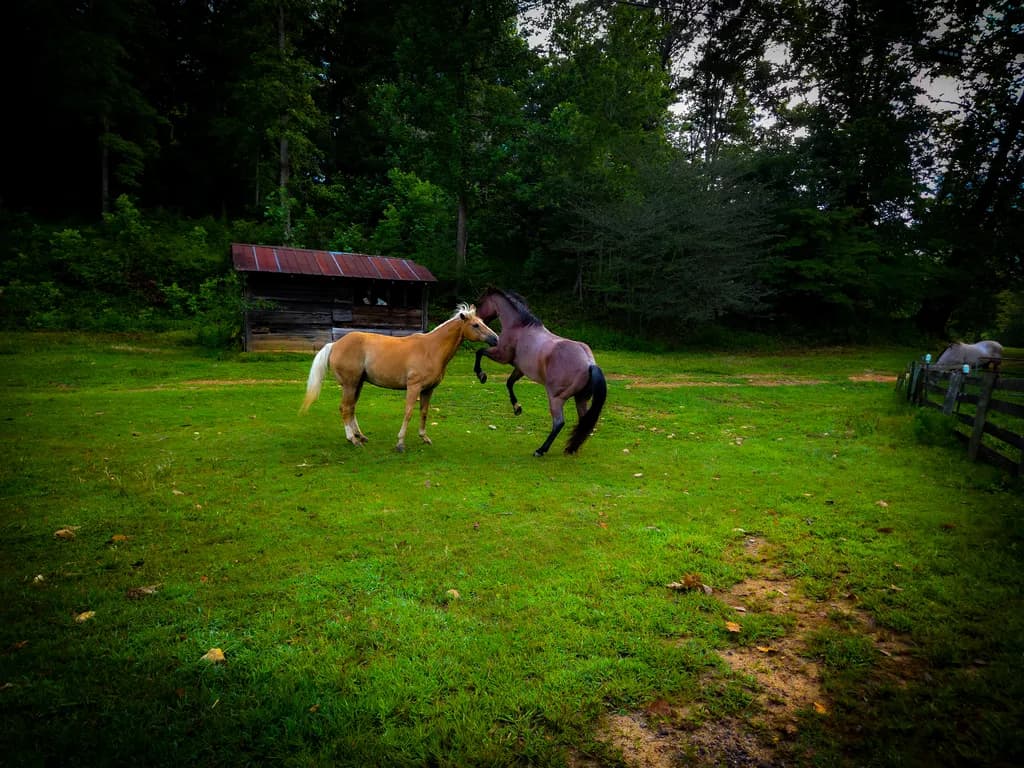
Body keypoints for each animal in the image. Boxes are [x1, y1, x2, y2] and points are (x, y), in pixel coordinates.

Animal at [300, 303, 498, 452]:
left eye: (482, 322)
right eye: (475, 325)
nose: (496, 339)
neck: (431, 349)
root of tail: (335, 344)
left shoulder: (428, 390)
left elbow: (424, 412)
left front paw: (424, 437)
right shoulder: (414, 387)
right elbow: (409, 412)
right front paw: (400, 443)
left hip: (358, 384)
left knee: (351, 408)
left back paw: (360, 436)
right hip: (350, 384)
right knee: (345, 408)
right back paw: (352, 439)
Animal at [473, 287, 607, 456]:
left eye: (480, 303)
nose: (478, 322)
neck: (519, 327)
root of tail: (589, 364)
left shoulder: (502, 356)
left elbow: (479, 352)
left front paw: (481, 375)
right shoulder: (519, 368)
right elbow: (509, 383)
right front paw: (517, 408)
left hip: (556, 398)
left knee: (559, 423)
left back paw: (541, 450)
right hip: (581, 399)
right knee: (584, 422)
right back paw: (571, 448)